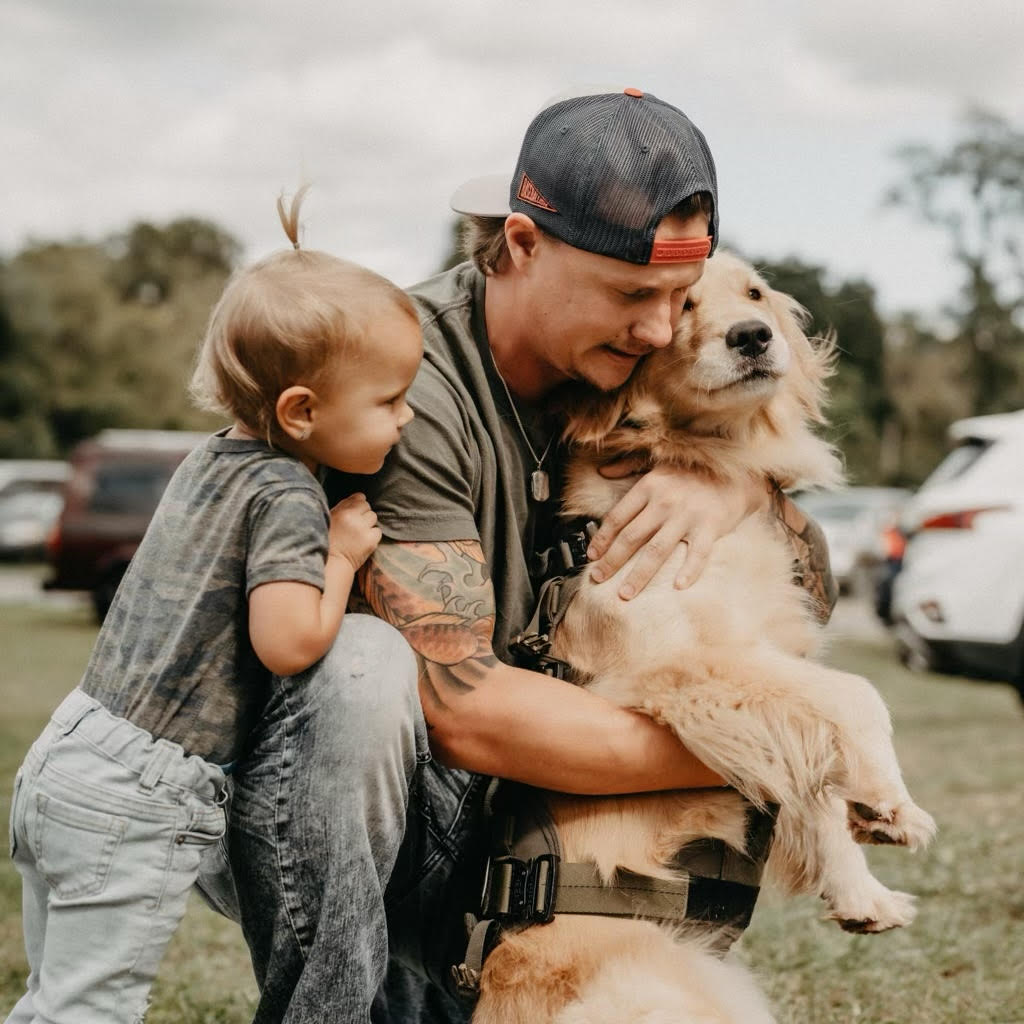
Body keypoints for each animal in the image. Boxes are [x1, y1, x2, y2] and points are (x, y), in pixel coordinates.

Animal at [471, 249, 937, 1024]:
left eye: (754, 294)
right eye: (679, 305)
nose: (752, 337)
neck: (696, 459)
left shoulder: (765, 672)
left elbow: (812, 777)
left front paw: (860, 888)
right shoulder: (692, 666)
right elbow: (856, 697)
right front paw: (889, 799)